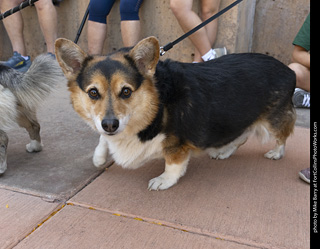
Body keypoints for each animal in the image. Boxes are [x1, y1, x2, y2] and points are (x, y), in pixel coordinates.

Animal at [54, 35, 296, 191]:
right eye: (93, 93)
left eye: (126, 91)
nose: (110, 124)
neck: (156, 103)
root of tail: (289, 70)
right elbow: (103, 139)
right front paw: (99, 157)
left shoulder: (176, 144)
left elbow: (173, 164)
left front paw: (164, 180)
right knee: (241, 136)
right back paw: (225, 151)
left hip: (273, 121)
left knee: (281, 137)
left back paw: (276, 153)